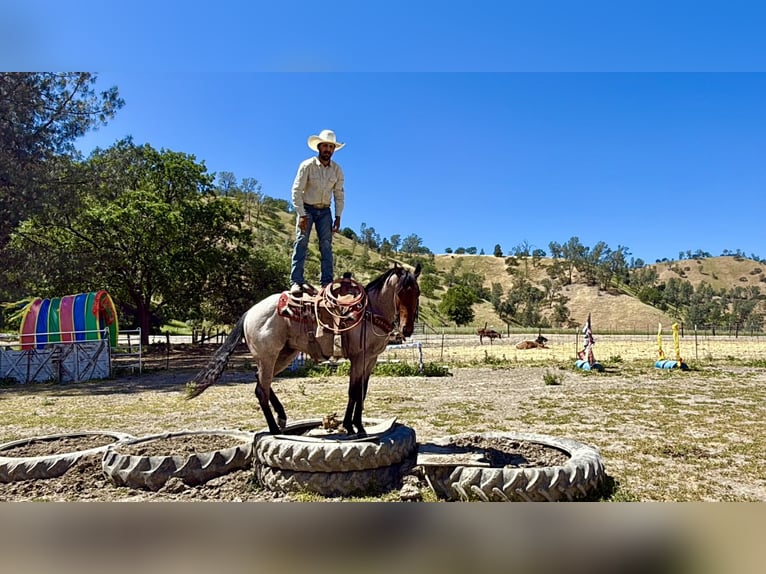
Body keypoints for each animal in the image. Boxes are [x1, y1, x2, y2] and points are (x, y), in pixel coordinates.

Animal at [186, 263, 421, 436]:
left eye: (417, 293)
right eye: (400, 292)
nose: (407, 329)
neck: (369, 312)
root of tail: (249, 312)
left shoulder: (371, 359)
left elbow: (361, 392)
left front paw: (356, 425)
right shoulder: (358, 358)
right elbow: (354, 392)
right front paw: (353, 426)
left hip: (284, 356)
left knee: (261, 382)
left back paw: (282, 418)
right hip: (268, 356)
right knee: (261, 389)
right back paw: (274, 429)